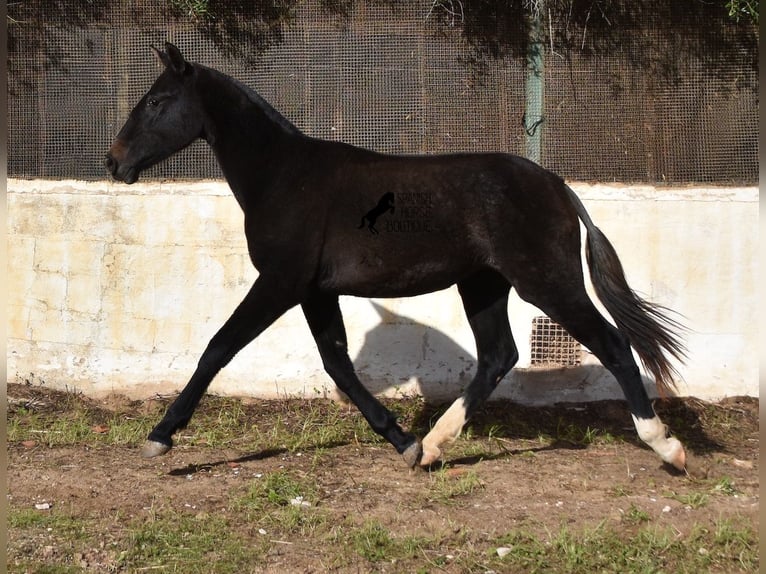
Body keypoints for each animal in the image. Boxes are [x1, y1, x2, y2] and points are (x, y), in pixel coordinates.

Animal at [105, 42, 688, 470]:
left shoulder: (280, 282)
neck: (285, 177)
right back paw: (432, 446)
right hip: (483, 285)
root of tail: (558, 186)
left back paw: (667, 446)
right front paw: (402, 441)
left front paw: (160, 436)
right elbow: (338, 364)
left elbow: (218, 348)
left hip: (546, 282)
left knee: (612, 345)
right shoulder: (315, 291)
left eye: (156, 101)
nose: (114, 162)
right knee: (499, 356)